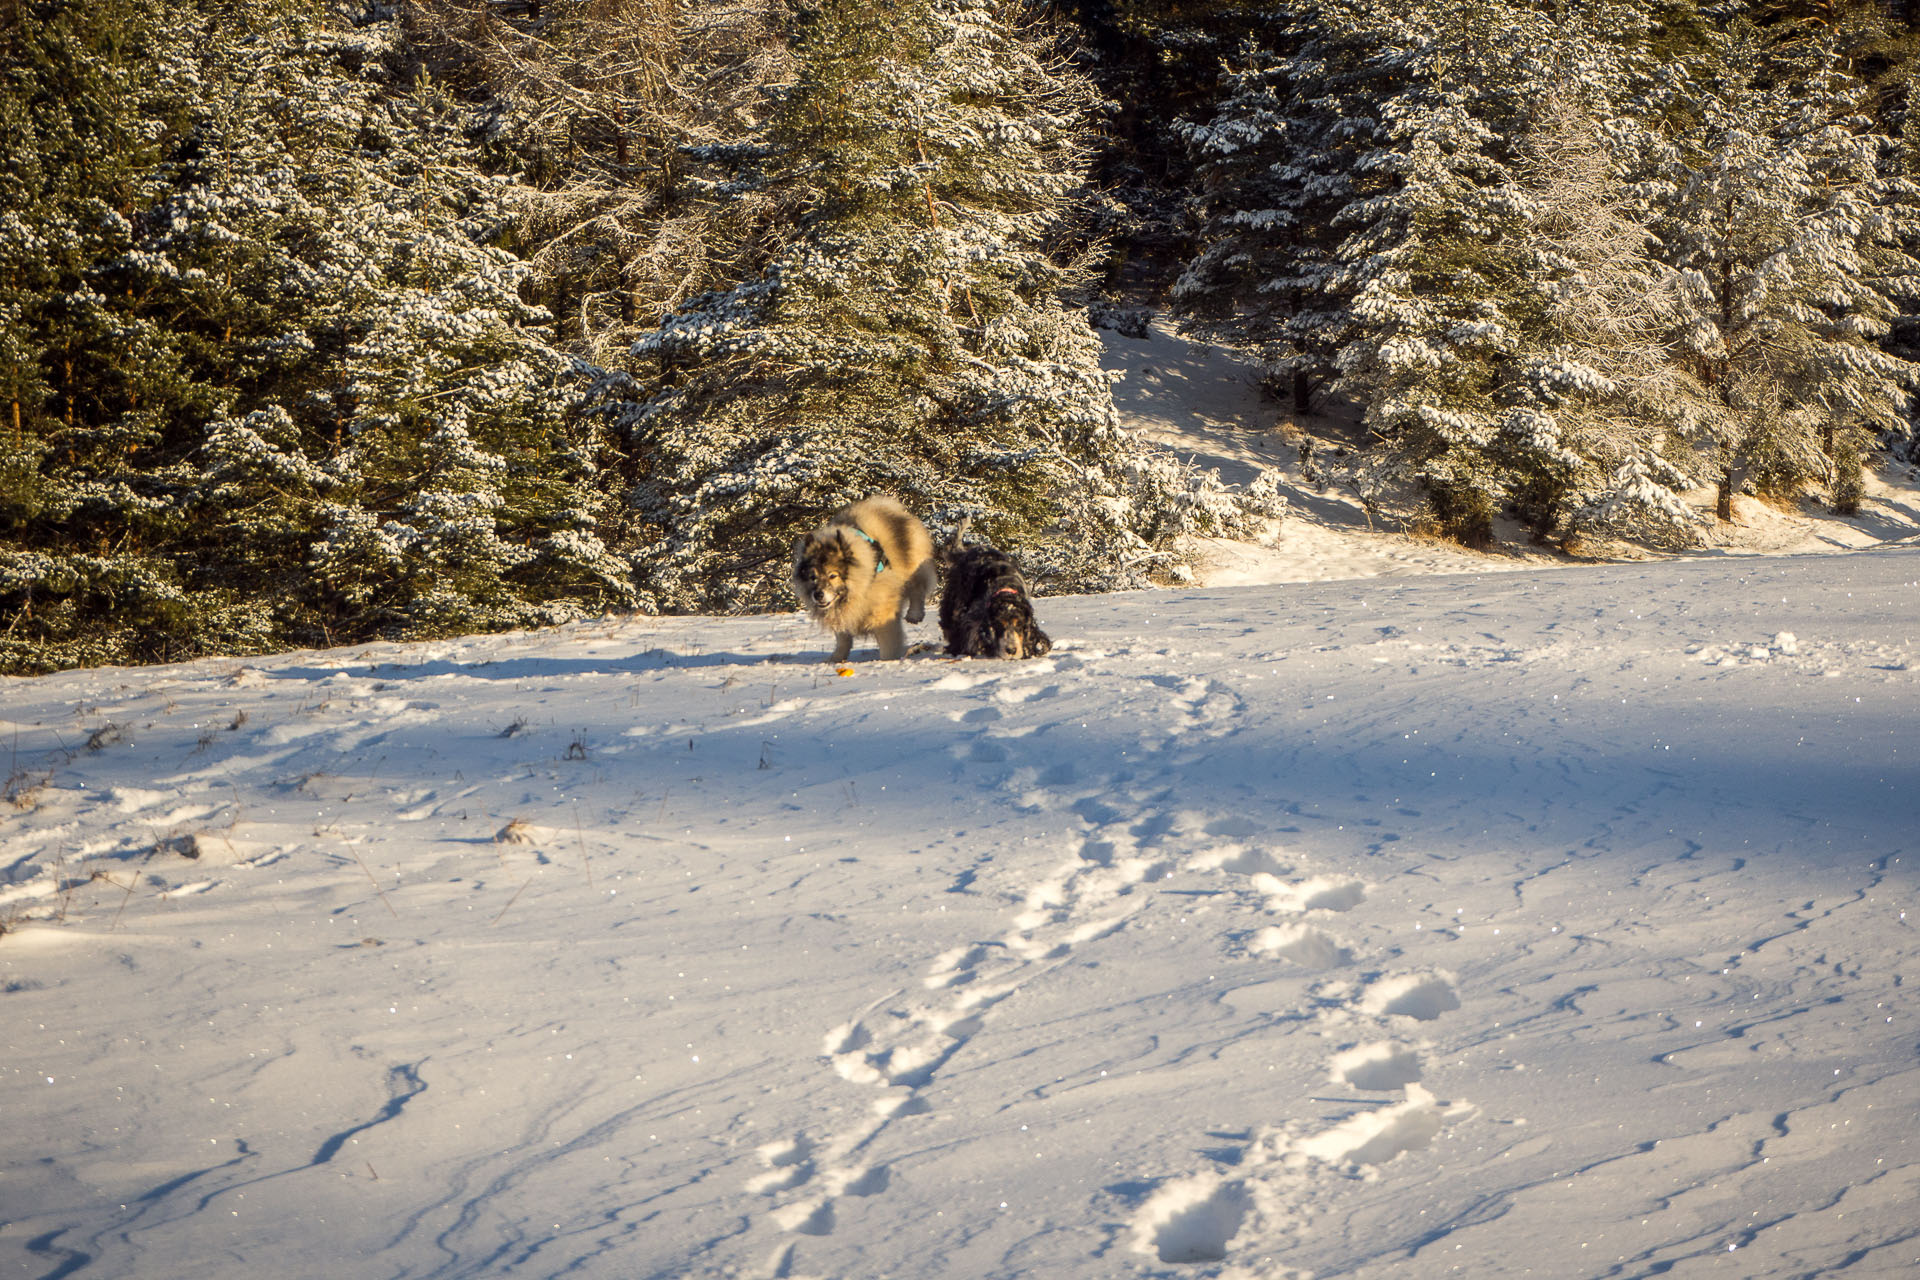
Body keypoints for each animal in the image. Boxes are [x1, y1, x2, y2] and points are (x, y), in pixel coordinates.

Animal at [787, 495, 936, 667]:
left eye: (833, 575)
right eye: (813, 577)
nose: (818, 595)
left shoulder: (883, 614)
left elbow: (888, 644)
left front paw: (888, 661)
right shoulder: (843, 614)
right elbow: (843, 640)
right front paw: (835, 659)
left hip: (912, 568)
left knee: (917, 590)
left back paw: (914, 614)